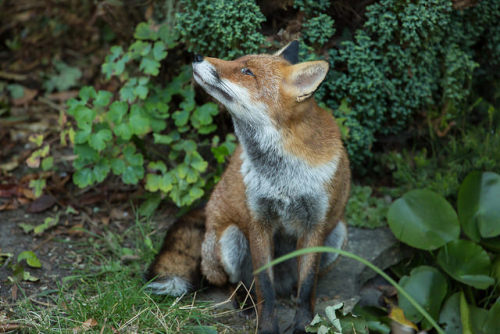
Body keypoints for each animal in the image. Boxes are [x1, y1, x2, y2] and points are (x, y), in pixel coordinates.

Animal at [145, 41, 350, 334]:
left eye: (246, 71)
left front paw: (303, 325)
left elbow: (307, 287)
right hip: (230, 240)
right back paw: (244, 301)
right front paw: (267, 327)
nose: (196, 55)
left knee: (296, 284)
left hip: (338, 235)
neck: (283, 177)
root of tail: (207, 208)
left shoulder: (316, 225)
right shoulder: (258, 220)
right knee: (232, 283)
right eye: (238, 61)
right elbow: (264, 287)